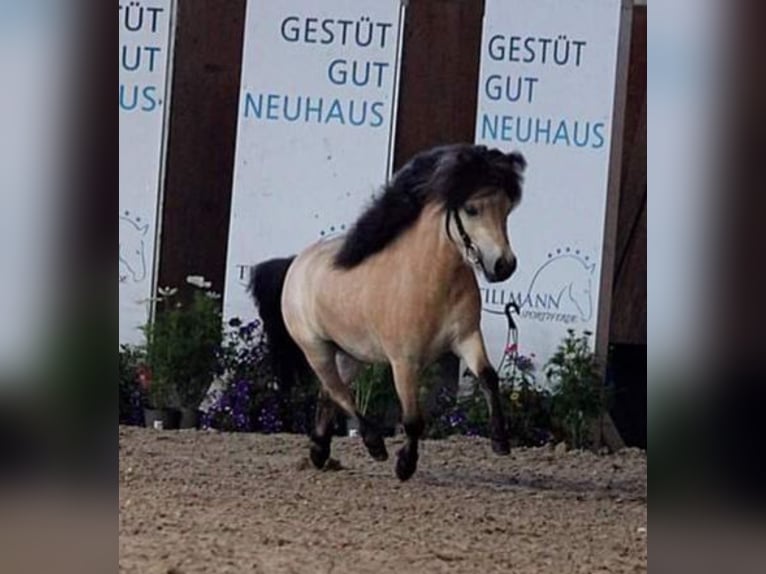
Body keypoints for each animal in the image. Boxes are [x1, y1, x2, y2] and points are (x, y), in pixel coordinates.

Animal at [249, 145, 524, 482]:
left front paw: (500, 441)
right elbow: (413, 419)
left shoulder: (467, 338)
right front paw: (405, 464)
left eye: (506, 209)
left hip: (351, 354)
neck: (432, 281)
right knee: (340, 393)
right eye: (472, 209)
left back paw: (319, 451)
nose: (504, 266)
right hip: (316, 349)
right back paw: (373, 445)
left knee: (329, 393)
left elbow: (488, 377)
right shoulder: (404, 361)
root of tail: (296, 262)